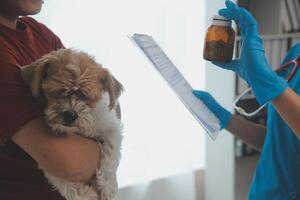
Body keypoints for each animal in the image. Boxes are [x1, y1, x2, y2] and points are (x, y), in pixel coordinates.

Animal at [21, 48, 123, 200]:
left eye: (86, 97)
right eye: (57, 92)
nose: (70, 115)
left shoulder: (111, 129)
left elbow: (111, 155)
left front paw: (107, 185)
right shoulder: (49, 161)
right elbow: (59, 179)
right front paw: (84, 193)